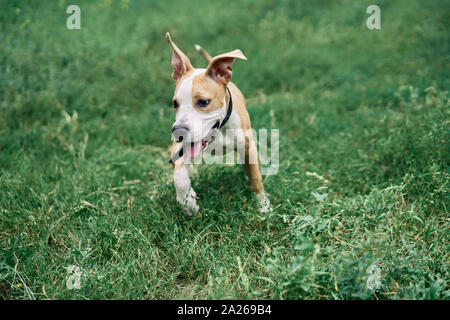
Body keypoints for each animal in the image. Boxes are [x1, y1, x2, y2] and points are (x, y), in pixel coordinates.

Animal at [165, 32, 270, 216]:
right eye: (175, 103)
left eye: (203, 102)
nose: (178, 132)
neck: (219, 129)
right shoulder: (179, 148)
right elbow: (179, 175)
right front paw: (188, 202)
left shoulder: (248, 145)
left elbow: (256, 177)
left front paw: (264, 206)